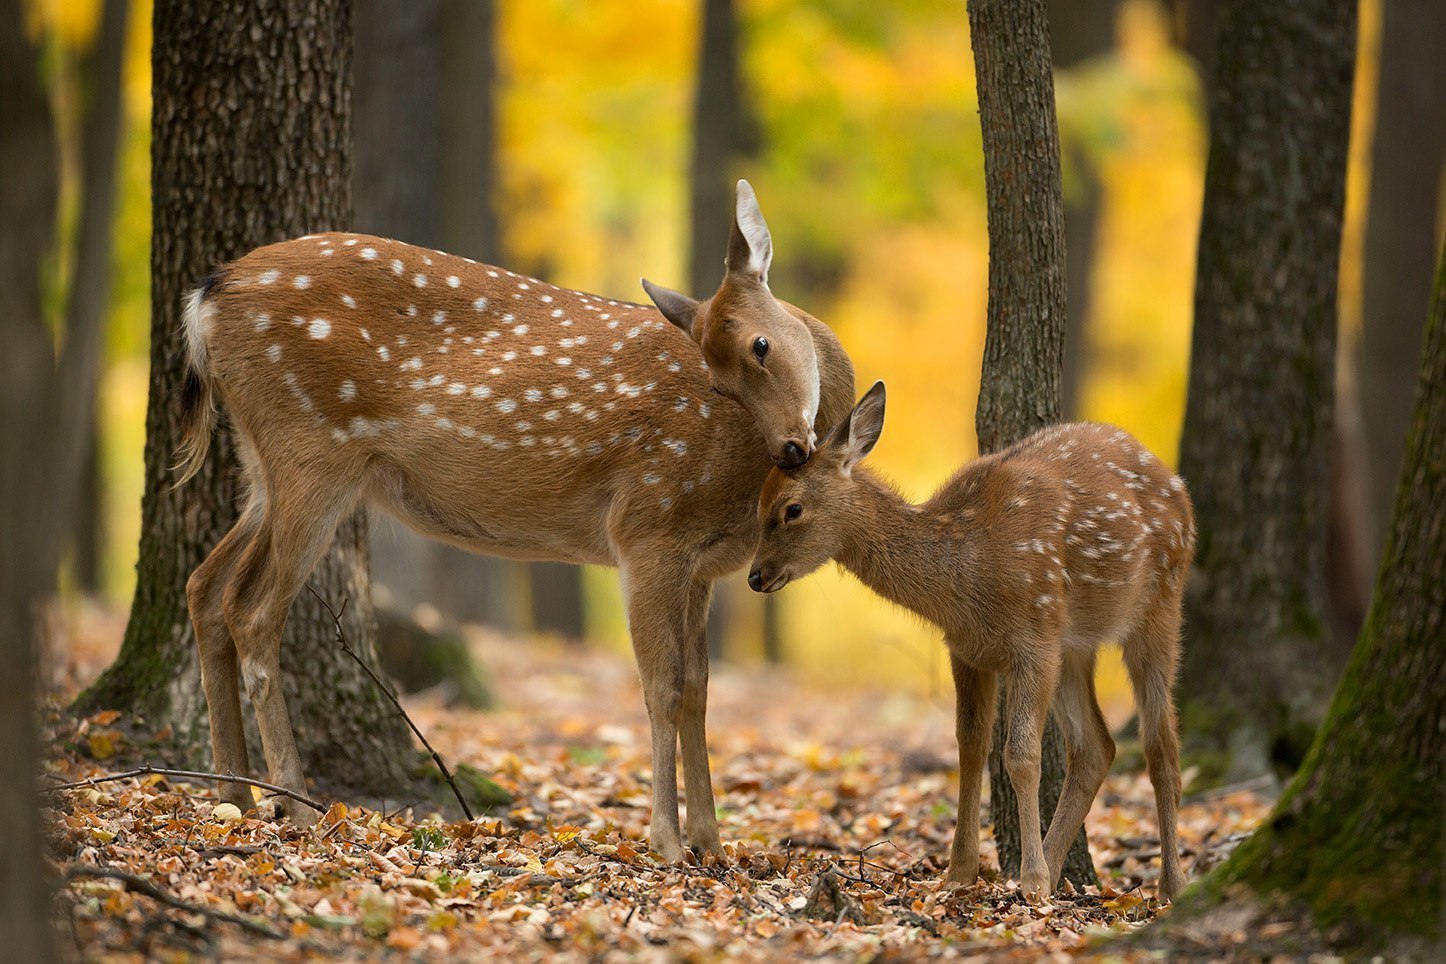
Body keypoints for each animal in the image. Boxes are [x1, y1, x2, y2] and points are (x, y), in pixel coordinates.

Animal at [180, 180, 856, 861]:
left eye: (761, 345)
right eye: (717, 382)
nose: (791, 449)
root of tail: (208, 293)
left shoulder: (702, 566)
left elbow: (698, 693)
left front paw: (713, 847)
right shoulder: (648, 526)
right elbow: (661, 690)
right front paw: (668, 844)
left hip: (263, 465)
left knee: (205, 586)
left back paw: (233, 795)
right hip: (310, 446)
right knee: (253, 610)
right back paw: (293, 804)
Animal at [751, 384, 1191, 907]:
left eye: (791, 508)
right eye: (757, 505)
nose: (756, 576)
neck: (966, 575)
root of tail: (1180, 487)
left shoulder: (1033, 638)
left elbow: (1021, 756)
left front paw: (1031, 881)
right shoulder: (966, 650)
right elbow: (970, 746)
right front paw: (960, 873)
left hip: (1159, 603)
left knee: (1160, 745)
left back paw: (1169, 885)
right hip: (1074, 644)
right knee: (1095, 747)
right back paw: (1059, 867)